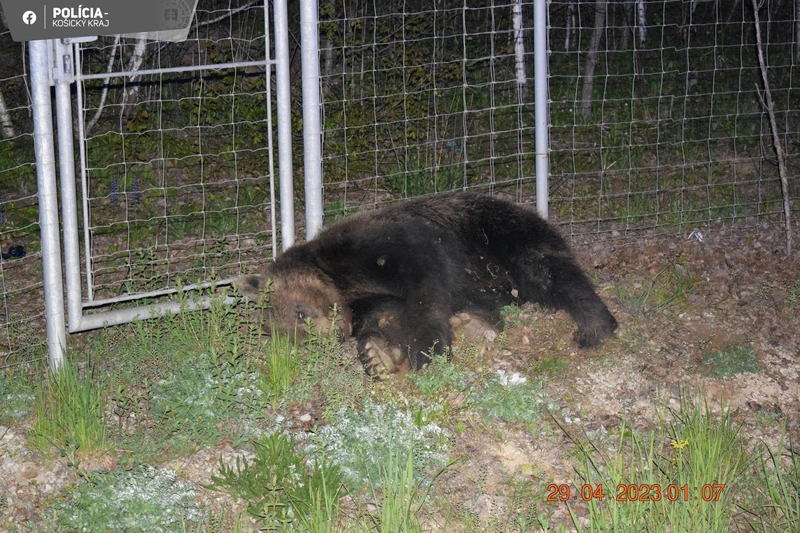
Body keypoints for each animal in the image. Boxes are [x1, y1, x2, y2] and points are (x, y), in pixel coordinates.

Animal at [238, 191, 620, 374]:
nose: (332, 336)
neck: (340, 281)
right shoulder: (366, 297)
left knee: (549, 270)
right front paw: (377, 354)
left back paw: (594, 327)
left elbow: (424, 284)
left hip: (499, 233)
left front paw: (428, 350)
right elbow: (385, 315)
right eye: (293, 337)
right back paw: (474, 323)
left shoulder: (384, 246)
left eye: (300, 314)